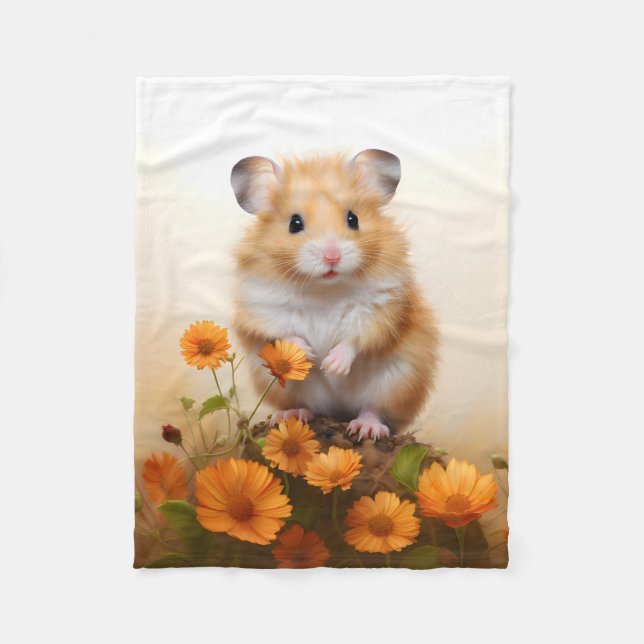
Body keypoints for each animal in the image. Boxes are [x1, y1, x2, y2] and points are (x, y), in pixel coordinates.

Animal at [230, 149, 439, 441]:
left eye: (353, 219)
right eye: (294, 223)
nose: (332, 256)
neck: (324, 289)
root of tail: (340, 412)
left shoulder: (383, 310)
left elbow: (355, 340)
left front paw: (331, 365)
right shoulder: (261, 311)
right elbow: (283, 333)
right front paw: (309, 354)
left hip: (396, 381)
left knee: (374, 409)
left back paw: (366, 427)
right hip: (286, 387)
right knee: (307, 407)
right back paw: (291, 415)